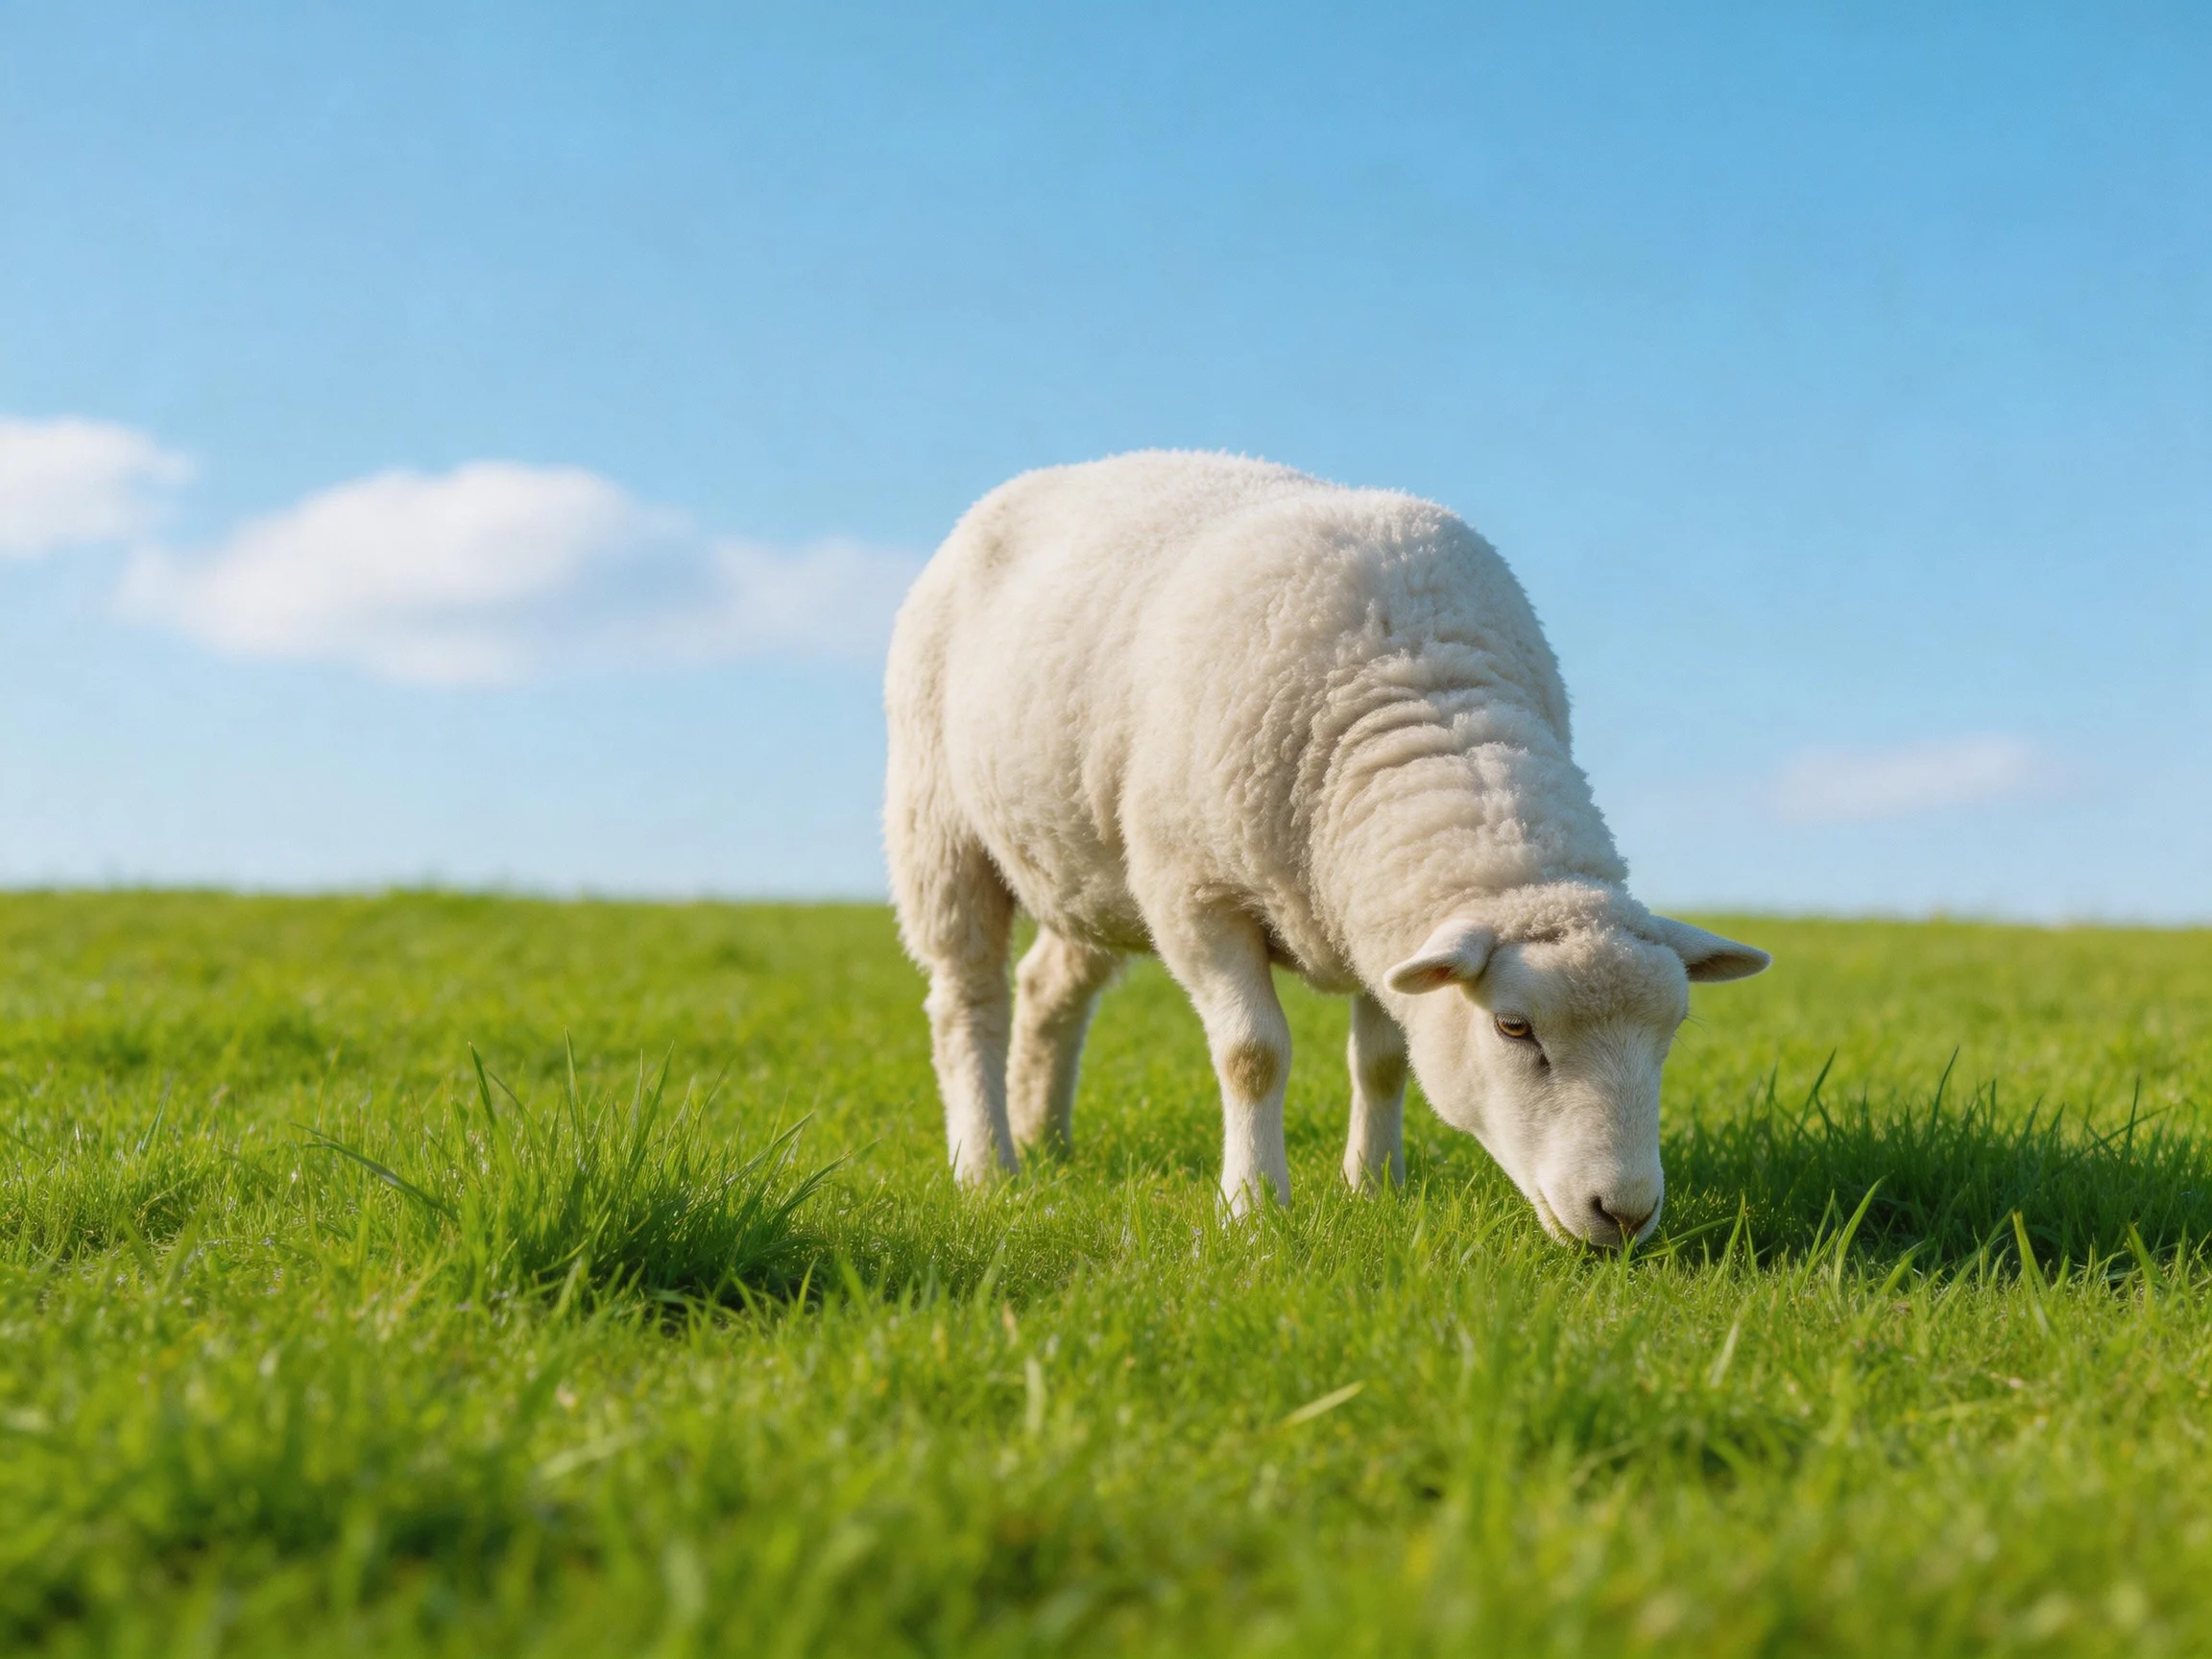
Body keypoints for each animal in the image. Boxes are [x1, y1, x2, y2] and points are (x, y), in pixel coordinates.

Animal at [884, 451, 1767, 1246]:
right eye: (1515, 1029)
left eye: (1672, 1030)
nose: (1624, 1214)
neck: (1420, 695)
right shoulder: (1195, 895)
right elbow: (1253, 1054)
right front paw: (1251, 1209)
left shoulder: (1383, 917)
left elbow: (1383, 1061)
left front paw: (1373, 1189)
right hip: (940, 825)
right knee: (969, 1001)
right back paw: (988, 1166)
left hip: (1088, 867)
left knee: (1046, 990)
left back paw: (1045, 1138)